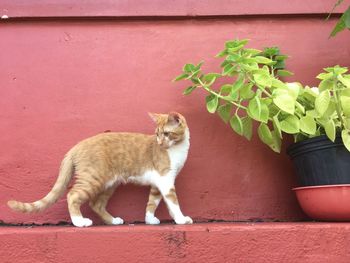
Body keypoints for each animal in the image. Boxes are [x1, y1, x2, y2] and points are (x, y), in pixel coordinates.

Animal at [6, 111, 193, 227]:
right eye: (157, 134)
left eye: (166, 134)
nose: (160, 143)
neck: (178, 148)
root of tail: (77, 145)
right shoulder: (166, 180)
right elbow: (173, 202)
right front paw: (181, 219)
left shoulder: (158, 183)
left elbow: (152, 201)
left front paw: (149, 219)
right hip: (93, 178)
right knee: (73, 195)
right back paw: (79, 222)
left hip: (109, 184)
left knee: (96, 204)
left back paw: (112, 221)